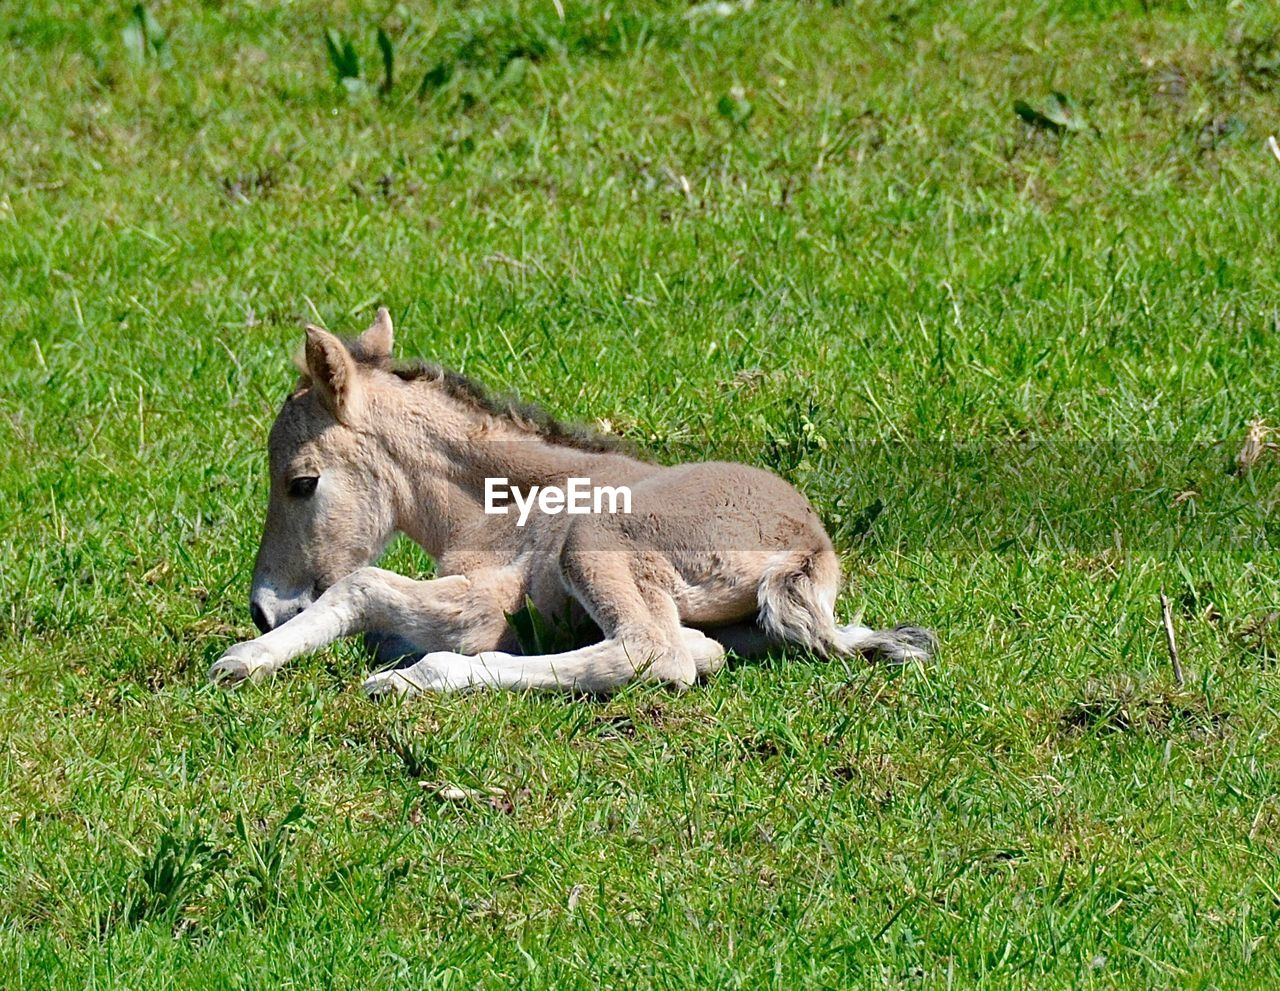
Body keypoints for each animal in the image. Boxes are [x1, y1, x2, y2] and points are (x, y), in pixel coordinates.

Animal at [207, 312, 931, 696]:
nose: (265, 608)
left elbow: (361, 587)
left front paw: (245, 658)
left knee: (654, 652)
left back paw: (421, 678)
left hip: (594, 541)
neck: (495, 504)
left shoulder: (484, 603)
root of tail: (810, 543)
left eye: (302, 482)